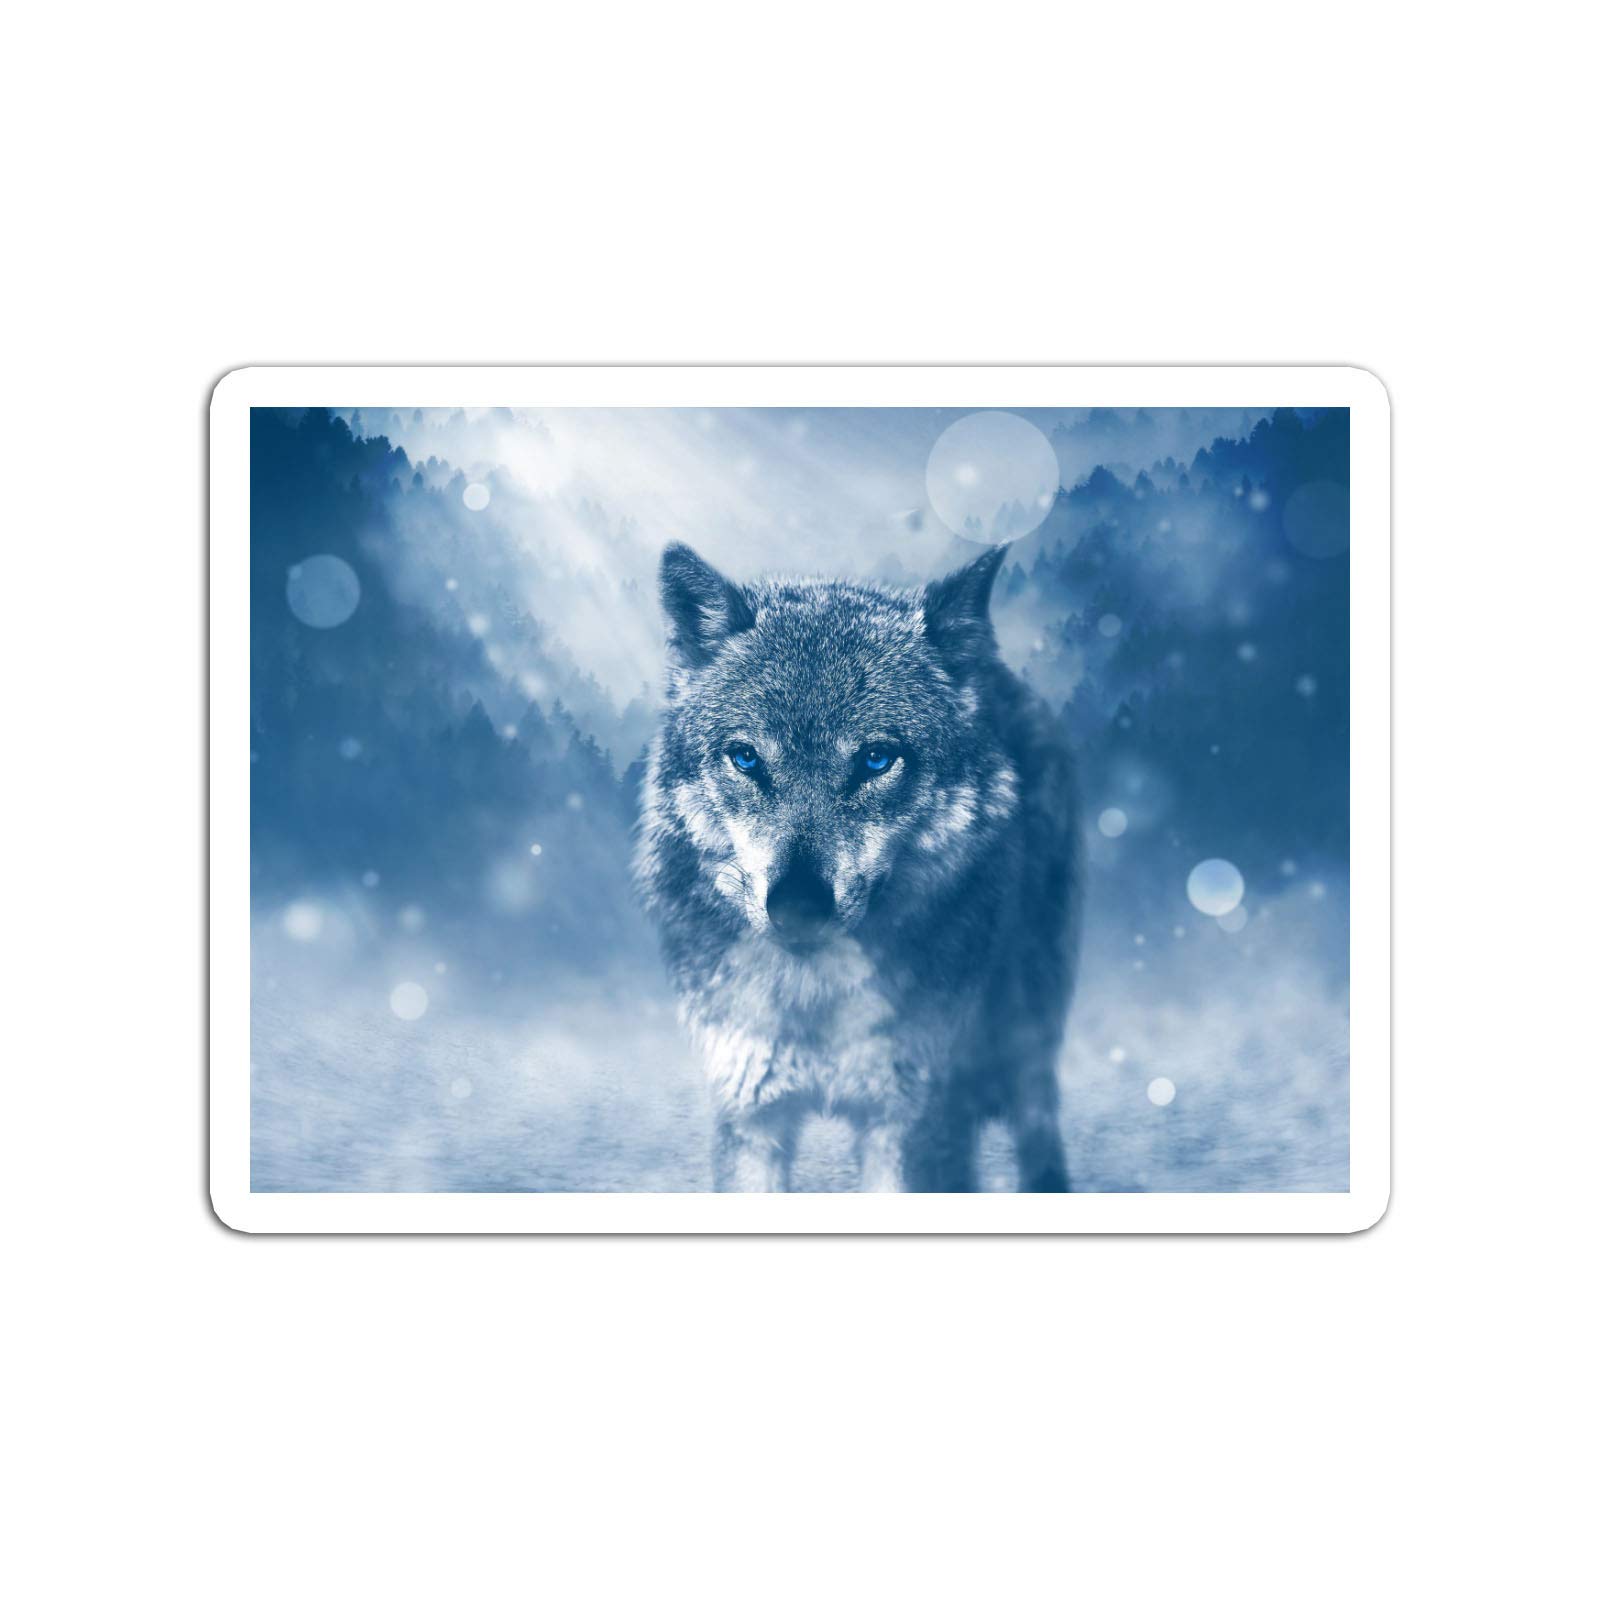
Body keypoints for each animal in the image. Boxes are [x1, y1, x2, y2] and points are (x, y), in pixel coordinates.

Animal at [634, 541, 1080, 1192]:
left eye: (875, 759)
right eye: (746, 758)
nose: (797, 906)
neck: (815, 1000)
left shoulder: (909, 1121)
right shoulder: (750, 1112)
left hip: (1026, 1025)